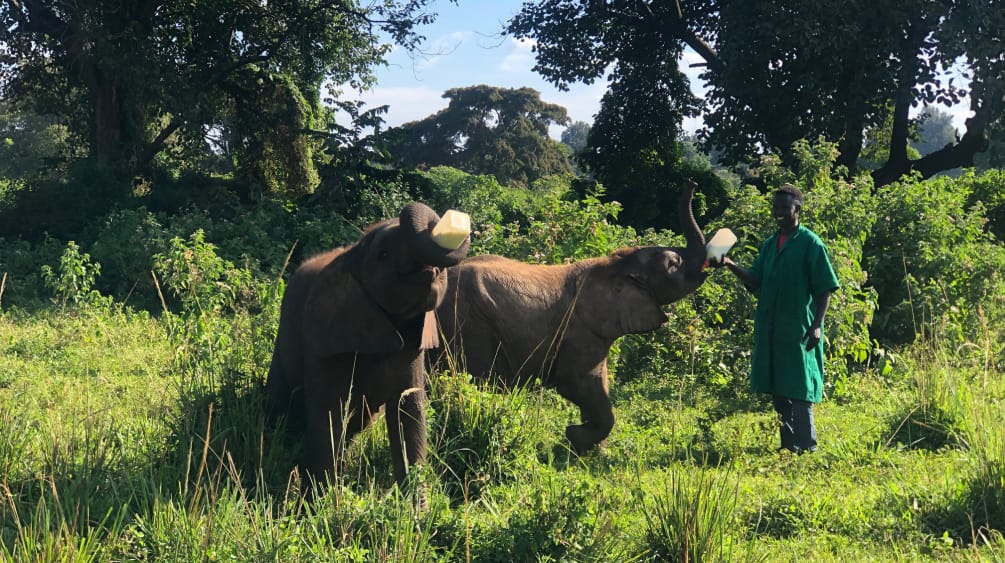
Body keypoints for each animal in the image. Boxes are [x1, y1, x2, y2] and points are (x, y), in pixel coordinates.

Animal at [267, 202, 470, 488]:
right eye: (383, 254)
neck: (351, 254)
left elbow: (408, 411)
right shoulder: (323, 339)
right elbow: (328, 412)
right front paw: (318, 497)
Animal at [436, 184, 711, 452]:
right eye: (672, 265)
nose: (693, 183)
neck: (613, 264)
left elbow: (600, 382)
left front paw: (592, 450)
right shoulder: (579, 330)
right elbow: (577, 384)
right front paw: (575, 437)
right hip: (468, 322)